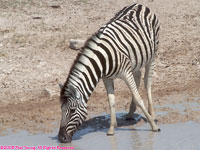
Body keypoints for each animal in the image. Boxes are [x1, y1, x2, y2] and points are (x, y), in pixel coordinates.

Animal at [58, 2, 160, 142]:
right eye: (61, 109)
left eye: (72, 110)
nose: (61, 138)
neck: (102, 60)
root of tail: (139, 4)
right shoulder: (107, 78)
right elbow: (111, 101)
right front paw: (111, 128)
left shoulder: (126, 72)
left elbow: (138, 98)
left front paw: (154, 126)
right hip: (135, 60)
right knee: (138, 75)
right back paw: (130, 113)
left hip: (152, 55)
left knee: (147, 82)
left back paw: (152, 114)